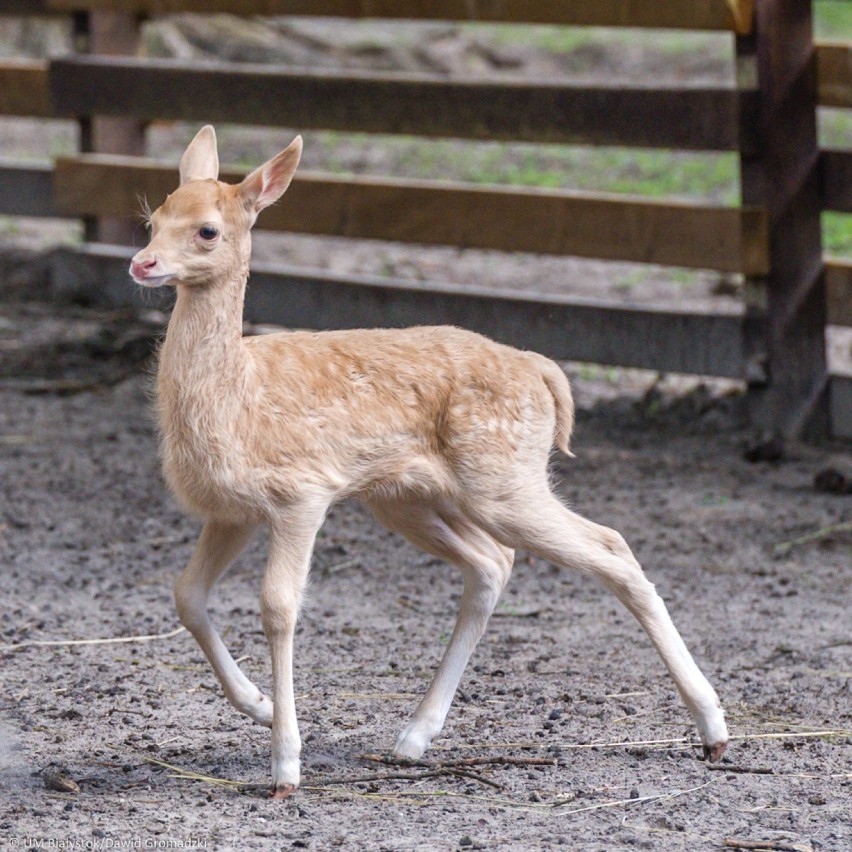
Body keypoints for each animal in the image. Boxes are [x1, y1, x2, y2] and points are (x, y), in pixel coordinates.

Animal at [130, 125, 728, 800]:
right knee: (494, 563)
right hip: (409, 496)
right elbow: (187, 595)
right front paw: (257, 705)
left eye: (207, 230)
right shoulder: (232, 510)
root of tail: (543, 371)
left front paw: (286, 765)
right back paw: (413, 737)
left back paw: (713, 729)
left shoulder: (301, 492)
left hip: (503, 477)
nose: (142, 262)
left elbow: (278, 606)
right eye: (153, 219)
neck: (238, 398)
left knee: (610, 546)